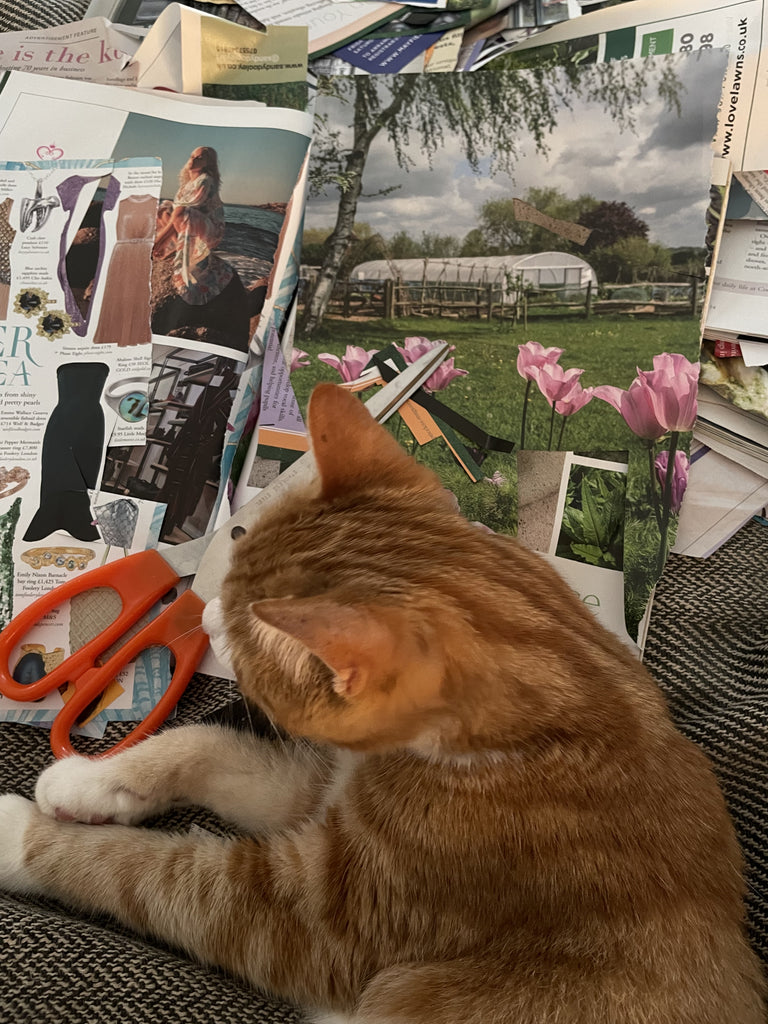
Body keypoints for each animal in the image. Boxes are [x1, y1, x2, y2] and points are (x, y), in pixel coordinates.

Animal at [0, 385, 765, 1024]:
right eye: (233, 560)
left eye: (242, 634)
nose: (206, 613)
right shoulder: (323, 793)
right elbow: (201, 748)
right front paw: (92, 781)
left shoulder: (308, 922)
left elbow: (144, 871)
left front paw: (21, 835)